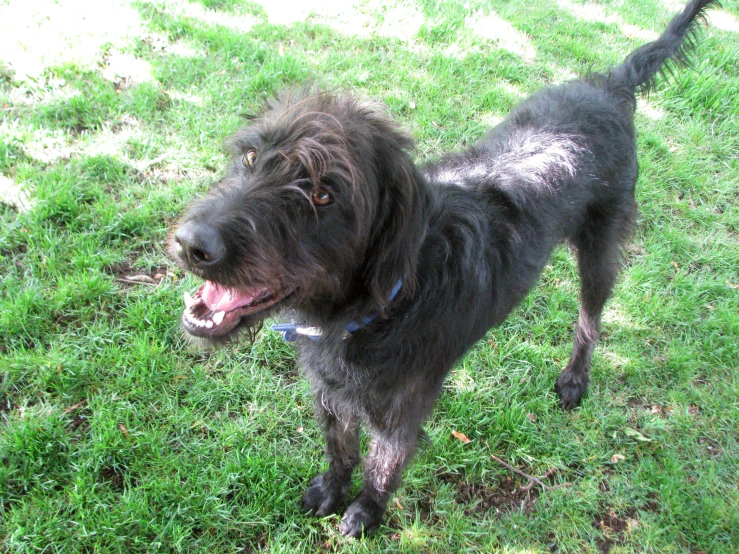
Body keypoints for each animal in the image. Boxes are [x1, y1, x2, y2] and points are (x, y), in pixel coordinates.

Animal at [172, 0, 716, 536]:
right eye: (250, 156)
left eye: (323, 195)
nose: (191, 244)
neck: (379, 305)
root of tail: (611, 86)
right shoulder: (332, 392)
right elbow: (339, 448)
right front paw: (330, 490)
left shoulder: (400, 412)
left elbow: (382, 466)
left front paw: (365, 513)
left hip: (600, 252)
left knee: (590, 319)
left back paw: (574, 378)